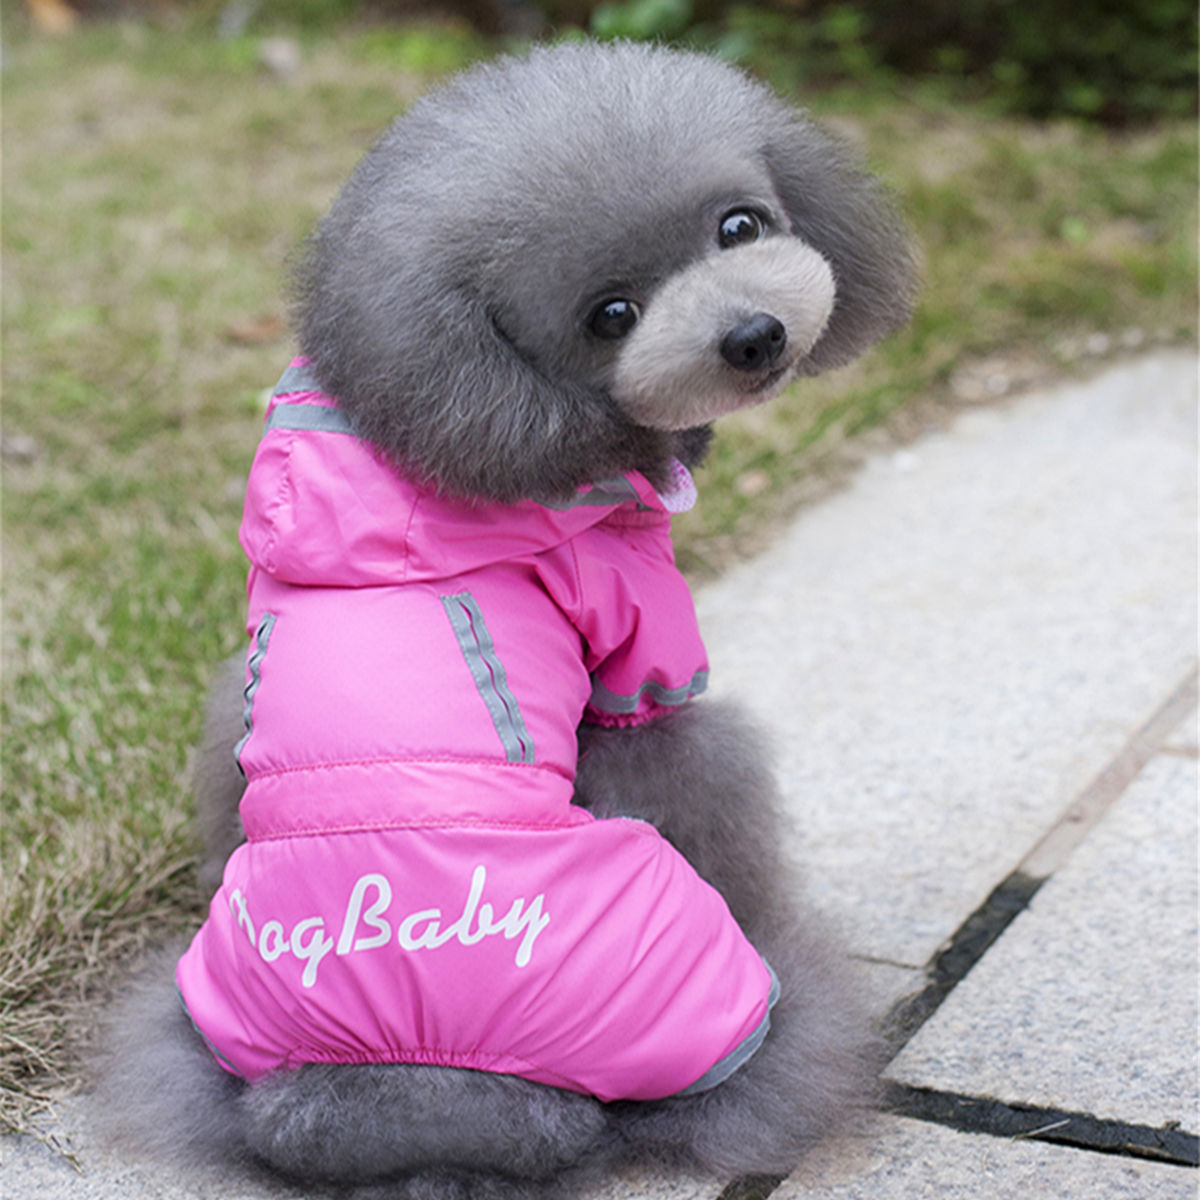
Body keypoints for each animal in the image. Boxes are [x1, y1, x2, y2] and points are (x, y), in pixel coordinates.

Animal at [94, 39, 915, 1199]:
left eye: (739, 226)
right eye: (609, 314)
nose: (754, 336)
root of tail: (435, 1101)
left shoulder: (230, 705)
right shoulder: (641, 664)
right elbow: (679, 752)